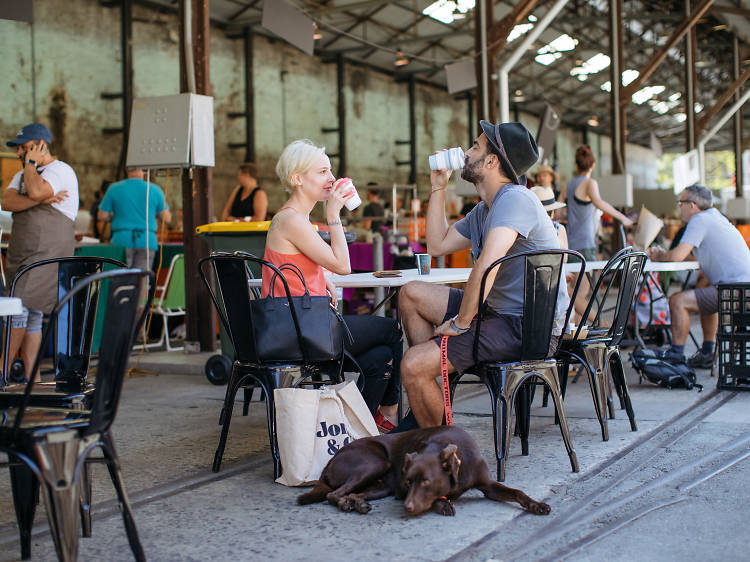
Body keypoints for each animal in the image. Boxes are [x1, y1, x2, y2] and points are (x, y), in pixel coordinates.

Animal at [300, 424, 552, 516]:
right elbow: (440, 499)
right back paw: (347, 504)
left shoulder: (488, 485)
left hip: (380, 485)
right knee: (333, 494)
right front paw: (443, 504)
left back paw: (356, 503)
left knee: (351, 493)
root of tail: (330, 462)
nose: (407, 507)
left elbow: (517, 492)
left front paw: (536, 505)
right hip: (374, 463)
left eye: (426, 482)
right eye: (408, 482)